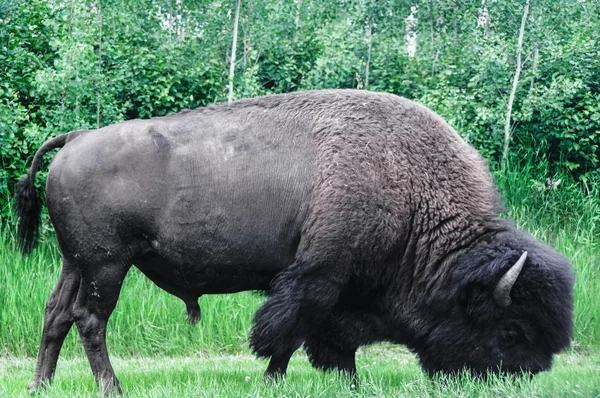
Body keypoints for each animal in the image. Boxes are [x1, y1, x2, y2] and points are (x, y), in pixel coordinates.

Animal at [16, 88, 576, 394]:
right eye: (512, 331)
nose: (521, 378)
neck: (409, 190)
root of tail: (76, 138)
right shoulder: (319, 277)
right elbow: (291, 332)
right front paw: (276, 381)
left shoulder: (330, 287)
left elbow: (323, 340)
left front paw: (341, 383)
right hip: (107, 265)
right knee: (90, 320)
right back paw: (114, 389)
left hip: (75, 263)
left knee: (56, 314)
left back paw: (40, 385)